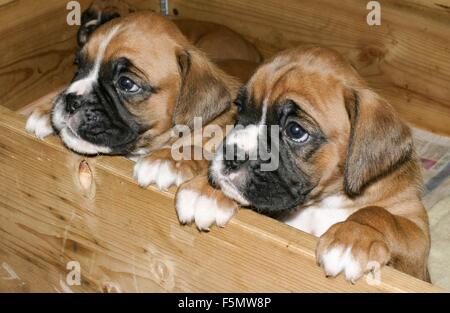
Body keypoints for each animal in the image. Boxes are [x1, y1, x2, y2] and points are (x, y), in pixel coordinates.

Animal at [178, 47, 430, 282]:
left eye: (295, 131)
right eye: (239, 108)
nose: (232, 155)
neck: (324, 201)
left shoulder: (417, 247)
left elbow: (380, 214)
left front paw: (354, 235)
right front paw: (205, 190)